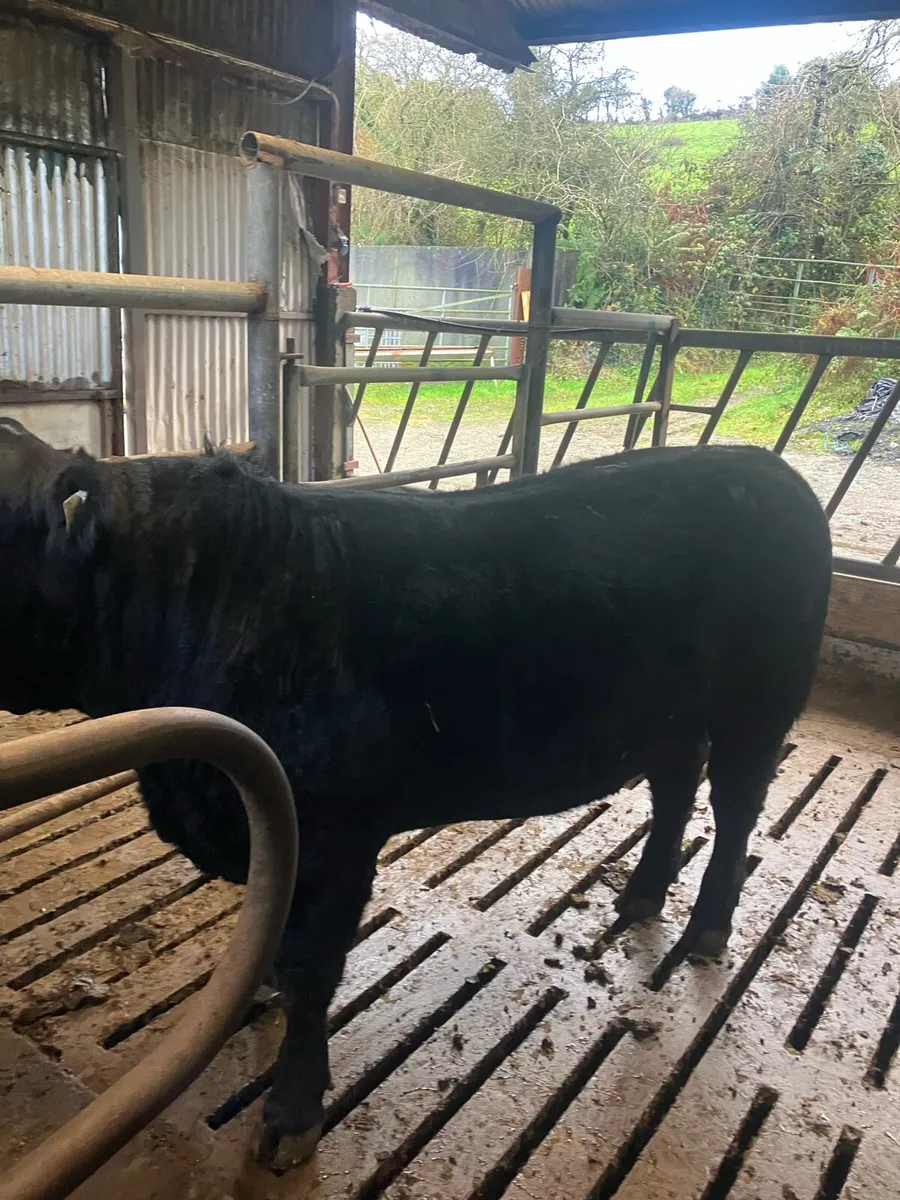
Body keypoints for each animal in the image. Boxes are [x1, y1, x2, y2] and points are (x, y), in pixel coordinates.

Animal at [0, 419, 832, 1169]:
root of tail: (763, 466)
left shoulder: (335, 838)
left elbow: (311, 972)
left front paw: (293, 1114)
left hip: (759, 704)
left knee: (734, 809)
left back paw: (707, 929)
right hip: (667, 716)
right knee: (675, 786)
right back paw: (642, 895)